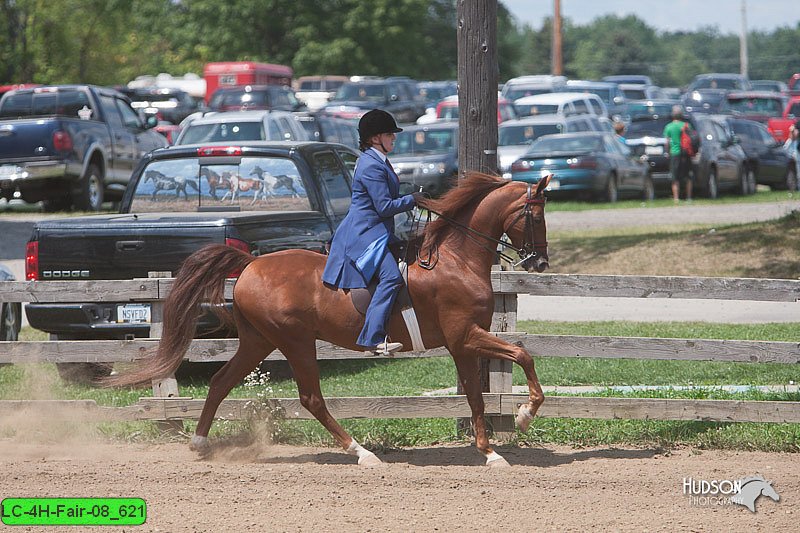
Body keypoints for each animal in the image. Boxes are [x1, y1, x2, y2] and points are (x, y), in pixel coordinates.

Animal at [108, 171, 552, 466]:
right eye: (536, 215)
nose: (541, 262)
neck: (456, 259)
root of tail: (250, 264)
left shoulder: (462, 343)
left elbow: (477, 394)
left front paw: (490, 452)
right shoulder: (465, 336)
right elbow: (522, 354)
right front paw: (524, 416)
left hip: (258, 341)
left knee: (220, 382)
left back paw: (200, 444)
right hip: (295, 341)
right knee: (311, 398)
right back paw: (361, 452)